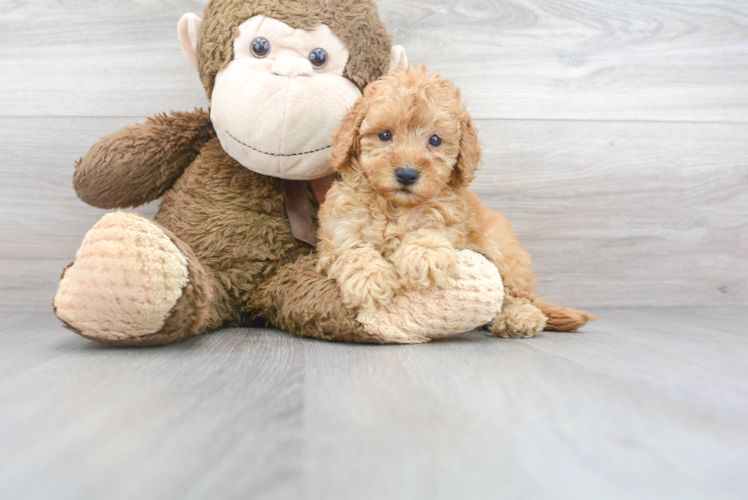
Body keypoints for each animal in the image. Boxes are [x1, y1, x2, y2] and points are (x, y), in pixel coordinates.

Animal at [318, 66, 596, 338]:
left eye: (435, 140)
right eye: (385, 135)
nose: (406, 174)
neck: (396, 207)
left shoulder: (455, 226)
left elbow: (432, 231)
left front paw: (422, 256)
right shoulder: (337, 235)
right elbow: (353, 251)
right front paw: (370, 281)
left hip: (501, 250)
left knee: (515, 295)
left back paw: (519, 318)